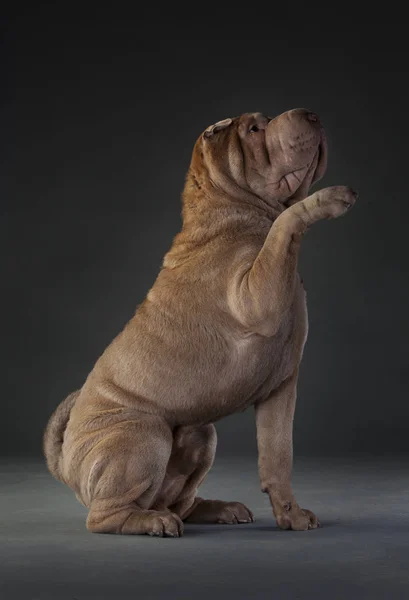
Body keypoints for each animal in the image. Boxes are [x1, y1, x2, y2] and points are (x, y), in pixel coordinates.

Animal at [44, 110, 356, 536]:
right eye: (255, 128)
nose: (311, 114)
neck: (233, 209)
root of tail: (64, 465)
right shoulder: (256, 295)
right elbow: (286, 223)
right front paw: (328, 199)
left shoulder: (281, 389)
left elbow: (278, 457)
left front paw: (290, 515)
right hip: (144, 433)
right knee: (106, 515)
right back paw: (152, 521)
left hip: (201, 432)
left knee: (179, 498)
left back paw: (216, 509)